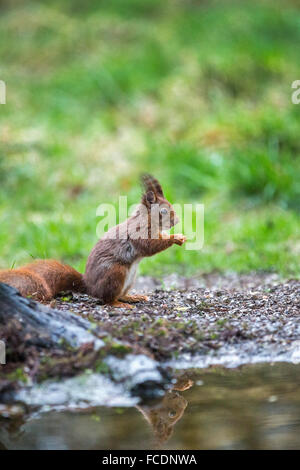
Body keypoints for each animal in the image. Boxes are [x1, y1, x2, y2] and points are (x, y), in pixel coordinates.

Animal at [0, 174, 186, 306]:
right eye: (163, 211)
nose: (177, 221)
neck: (146, 219)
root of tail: (90, 287)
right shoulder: (138, 232)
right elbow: (150, 245)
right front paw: (175, 238)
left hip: (131, 278)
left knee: (119, 295)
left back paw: (132, 297)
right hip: (115, 273)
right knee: (107, 299)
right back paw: (119, 304)